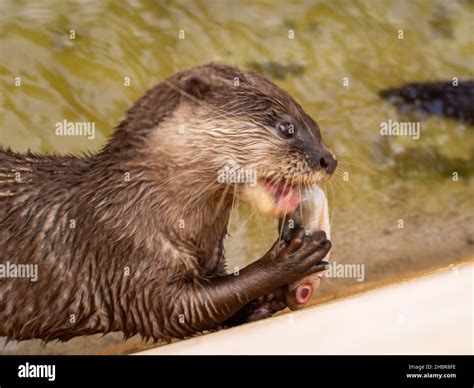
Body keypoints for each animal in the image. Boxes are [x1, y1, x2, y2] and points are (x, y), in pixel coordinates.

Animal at [0, 63, 336, 342]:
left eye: (317, 128)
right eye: (287, 128)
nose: (329, 160)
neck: (134, 202)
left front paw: (270, 298)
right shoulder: (126, 255)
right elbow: (178, 310)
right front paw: (286, 260)